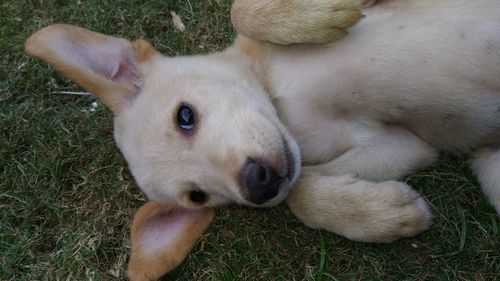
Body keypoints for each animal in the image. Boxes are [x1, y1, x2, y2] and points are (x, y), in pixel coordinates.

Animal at [26, 0, 500, 278]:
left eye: (185, 117)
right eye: (197, 196)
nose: (259, 184)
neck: (277, 95)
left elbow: (240, 10)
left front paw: (314, 16)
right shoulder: (403, 142)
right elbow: (302, 194)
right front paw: (382, 215)